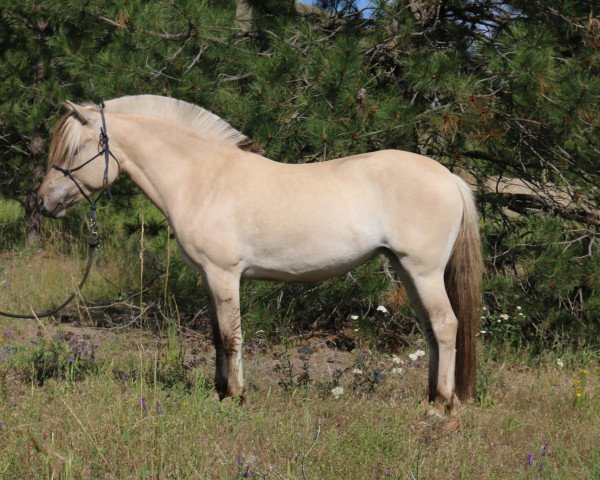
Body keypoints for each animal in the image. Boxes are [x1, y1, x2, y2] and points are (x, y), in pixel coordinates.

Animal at [37, 95, 480, 414]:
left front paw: (236, 396)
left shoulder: (224, 274)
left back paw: (441, 406)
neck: (203, 179)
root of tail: (449, 177)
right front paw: (219, 392)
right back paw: (430, 397)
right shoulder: (209, 277)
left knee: (445, 326)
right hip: (406, 270)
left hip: (423, 271)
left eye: (75, 149)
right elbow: (216, 336)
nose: (41, 202)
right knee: (430, 330)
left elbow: (231, 337)